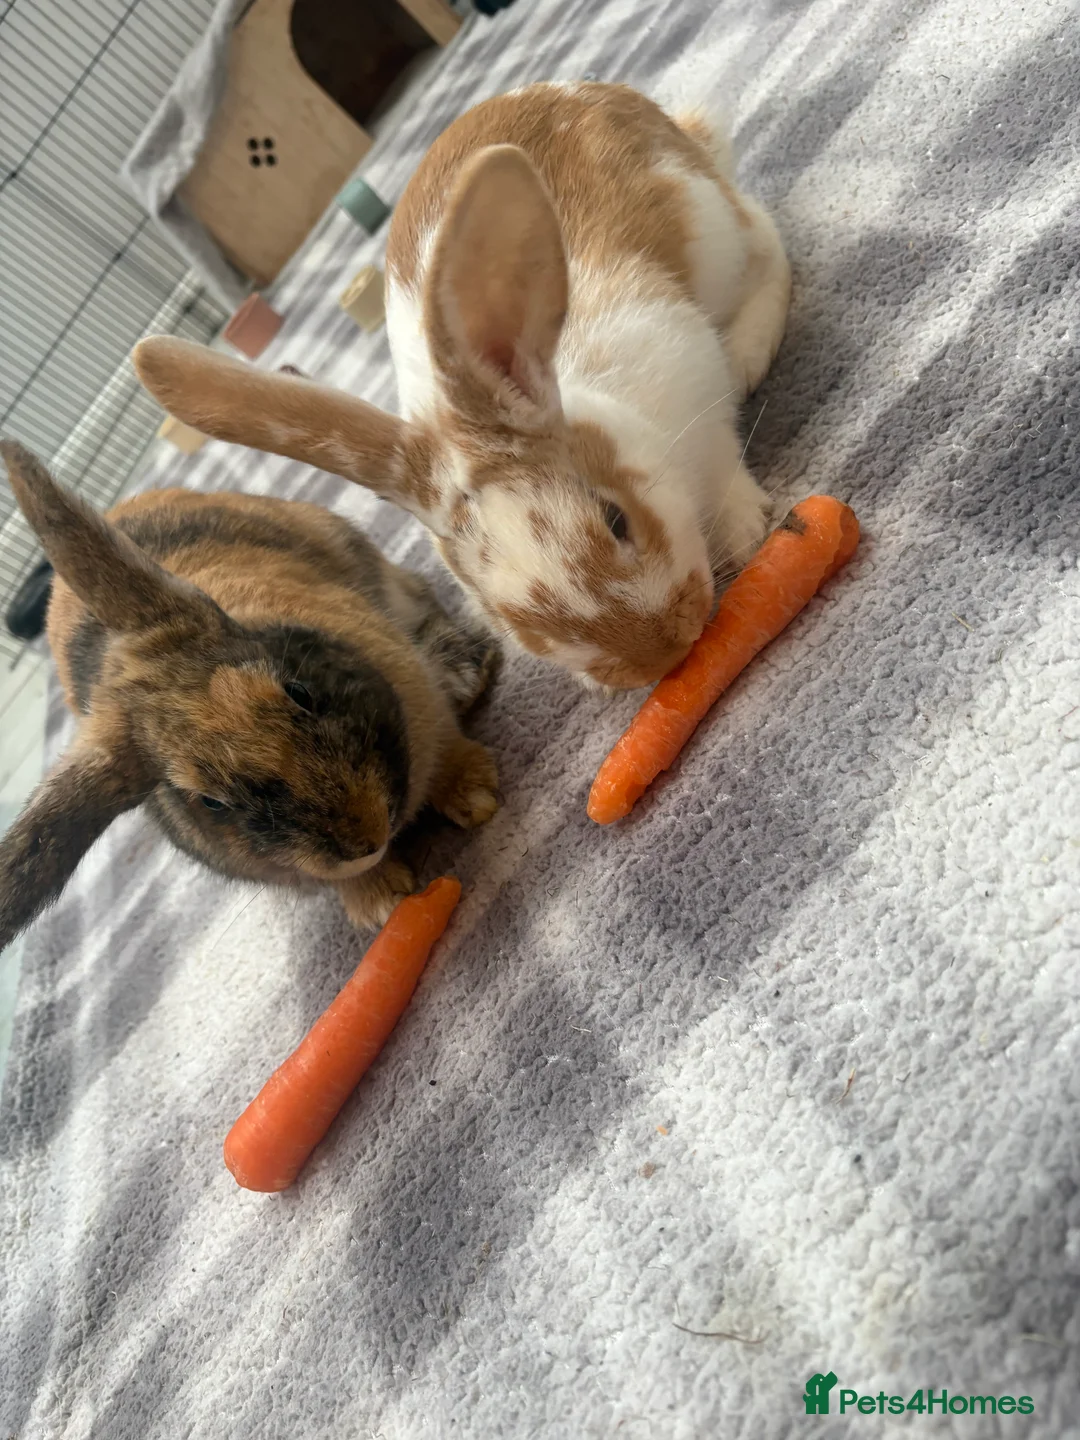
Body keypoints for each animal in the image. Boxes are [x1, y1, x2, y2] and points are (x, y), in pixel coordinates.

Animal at [0, 440, 500, 953]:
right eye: (212, 803)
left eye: (299, 692)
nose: (365, 836)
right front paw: (382, 903)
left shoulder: (421, 699)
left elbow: (446, 751)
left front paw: (478, 796)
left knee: (418, 598)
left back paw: (464, 671)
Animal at [132, 81, 791, 691]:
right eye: (511, 616)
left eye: (616, 520)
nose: (662, 655)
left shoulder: (692, 384)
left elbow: (724, 466)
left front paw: (748, 532)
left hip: (712, 228)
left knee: (766, 239)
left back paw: (748, 353)